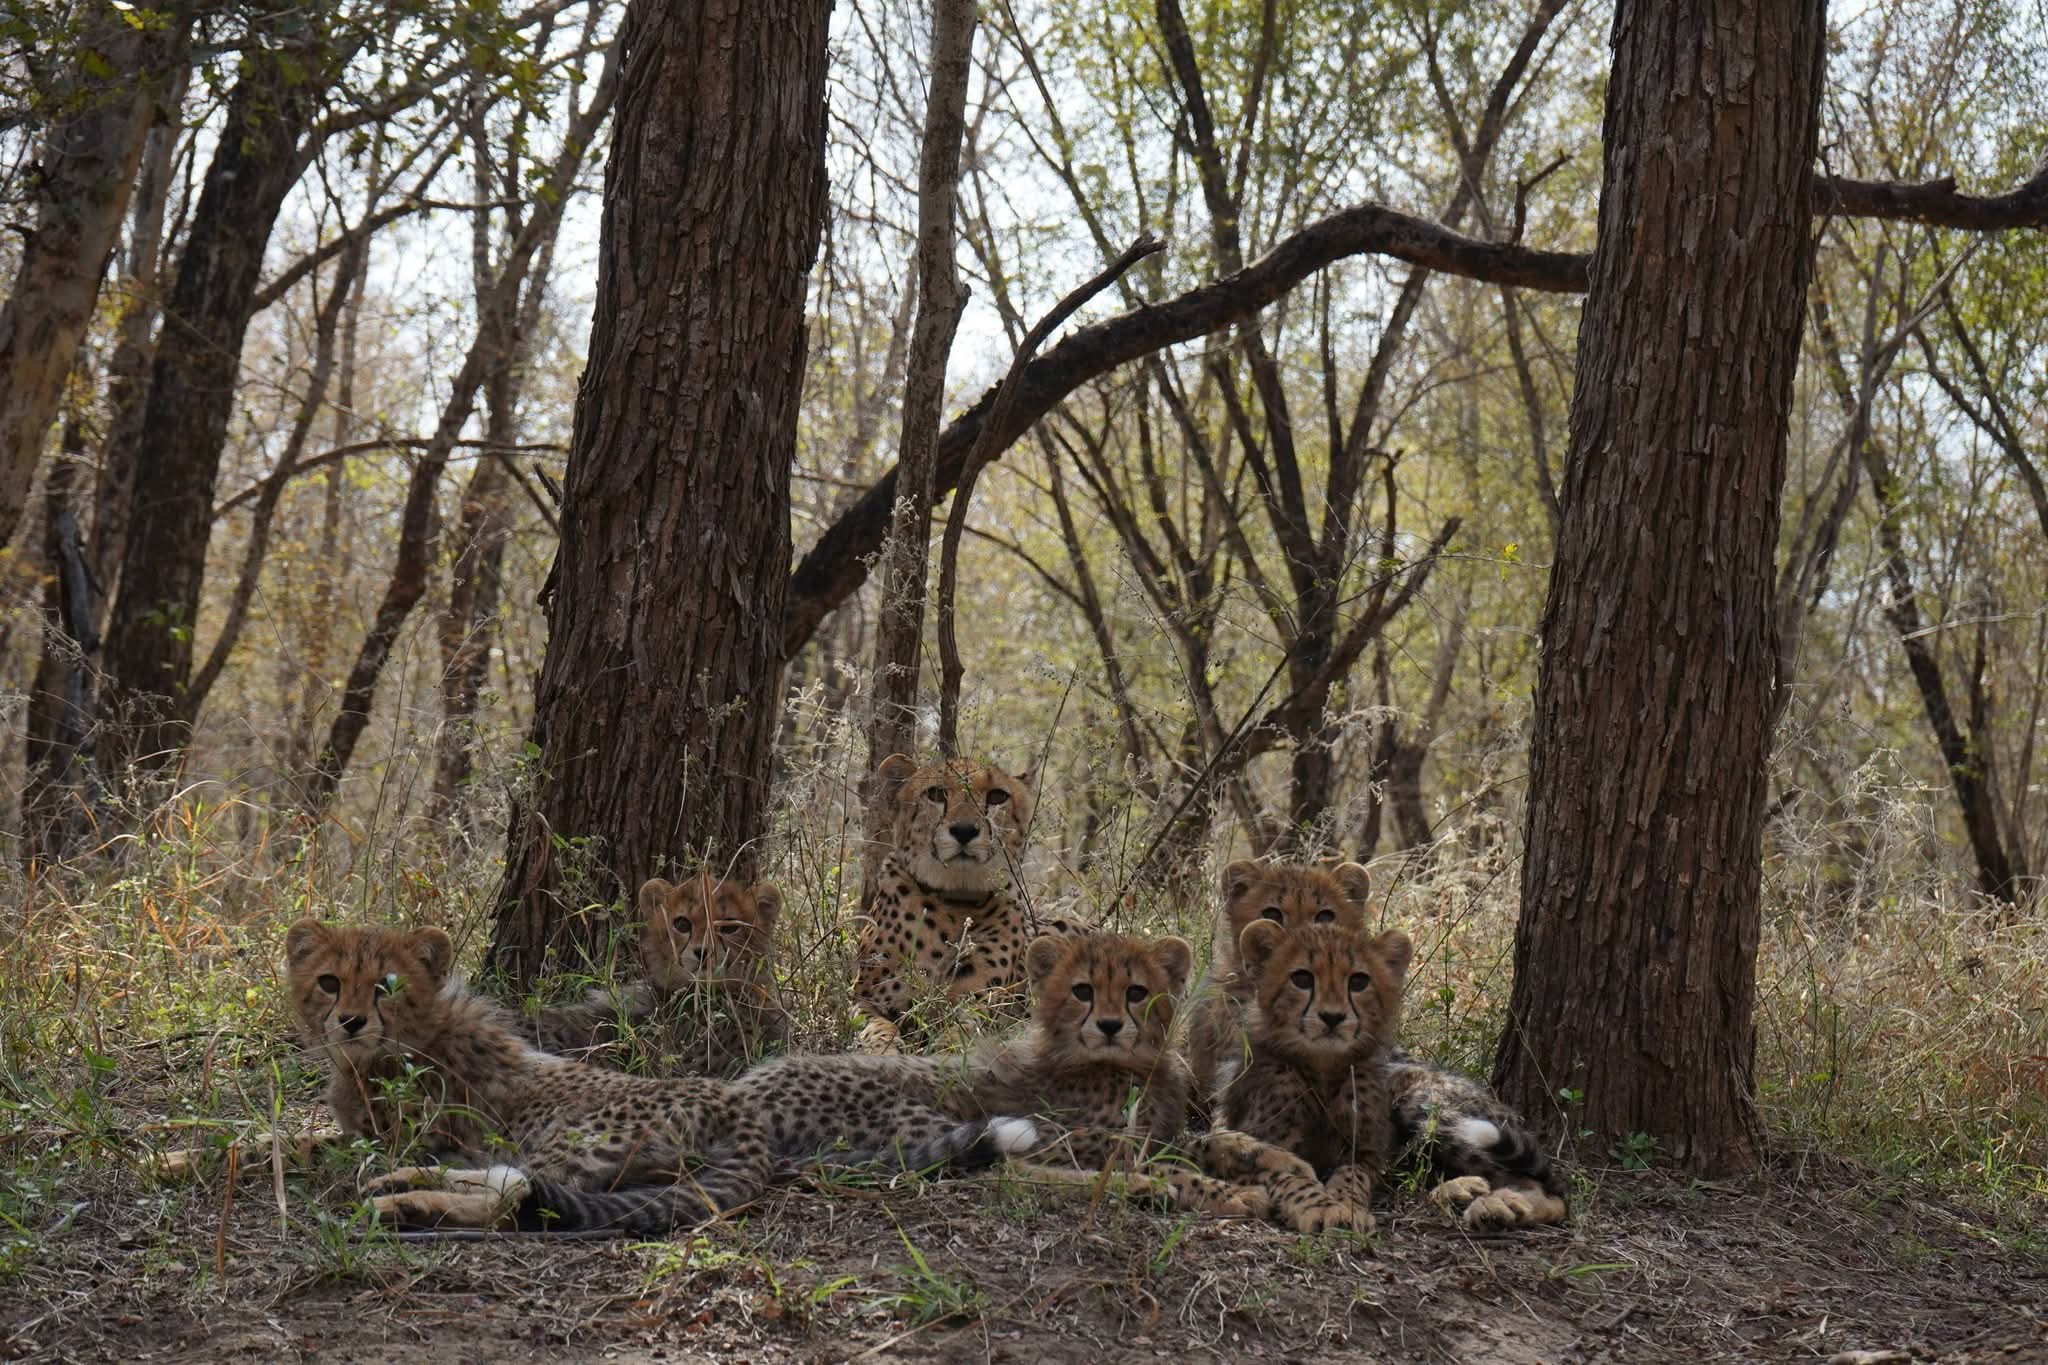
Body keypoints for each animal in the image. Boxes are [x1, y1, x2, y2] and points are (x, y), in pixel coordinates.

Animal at [851, 753, 1080, 1053]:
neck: (955, 901)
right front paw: (883, 1049)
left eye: (997, 796)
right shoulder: (865, 999)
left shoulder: (978, 1006)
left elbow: (960, 1034)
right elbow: (875, 1026)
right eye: (936, 794)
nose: (964, 830)